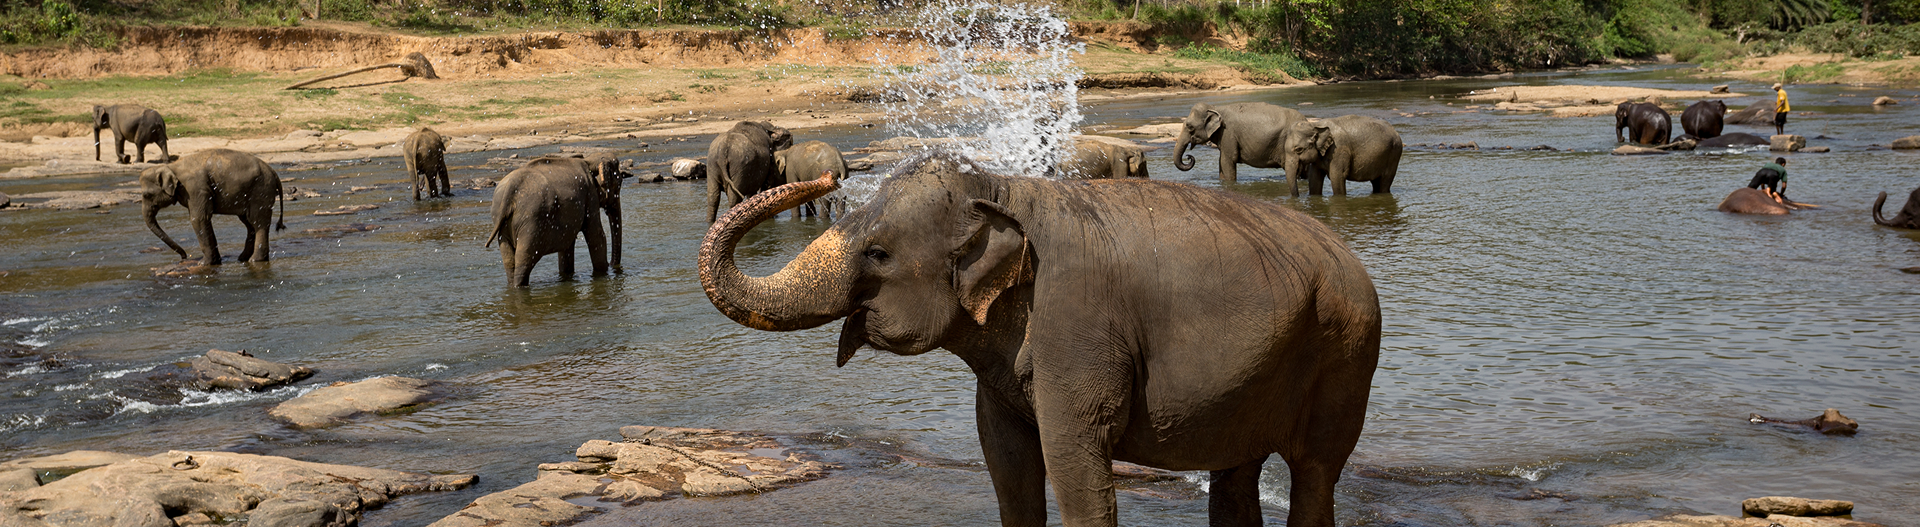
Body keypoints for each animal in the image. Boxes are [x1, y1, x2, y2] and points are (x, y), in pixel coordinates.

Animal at [140, 149, 286, 265]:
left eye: (146, 195)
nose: (184, 257)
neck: (171, 166)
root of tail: (273, 171)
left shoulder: (195, 189)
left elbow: (198, 219)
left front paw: (204, 264)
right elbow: (203, 219)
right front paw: (215, 261)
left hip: (261, 190)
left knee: (258, 221)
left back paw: (255, 260)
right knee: (249, 223)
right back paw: (242, 258)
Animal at [486, 155, 611, 287]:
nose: (612, 264)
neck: (588, 161)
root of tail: (510, 189)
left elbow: (567, 244)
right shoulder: (590, 194)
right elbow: (596, 235)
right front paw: (603, 273)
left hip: (502, 220)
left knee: (510, 261)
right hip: (533, 221)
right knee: (525, 259)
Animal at [698, 152, 1380, 527]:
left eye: (878, 252)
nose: (824, 178)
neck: (999, 188)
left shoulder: (1077, 328)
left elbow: (1076, 466)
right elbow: (1009, 474)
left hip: (1346, 353)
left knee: (1316, 472)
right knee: (1236, 476)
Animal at [1172, 102, 1307, 183]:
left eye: (1190, 126)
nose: (1189, 157)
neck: (1216, 108)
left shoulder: (1228, 133)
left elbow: (1227, 161)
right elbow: (1221, 162)